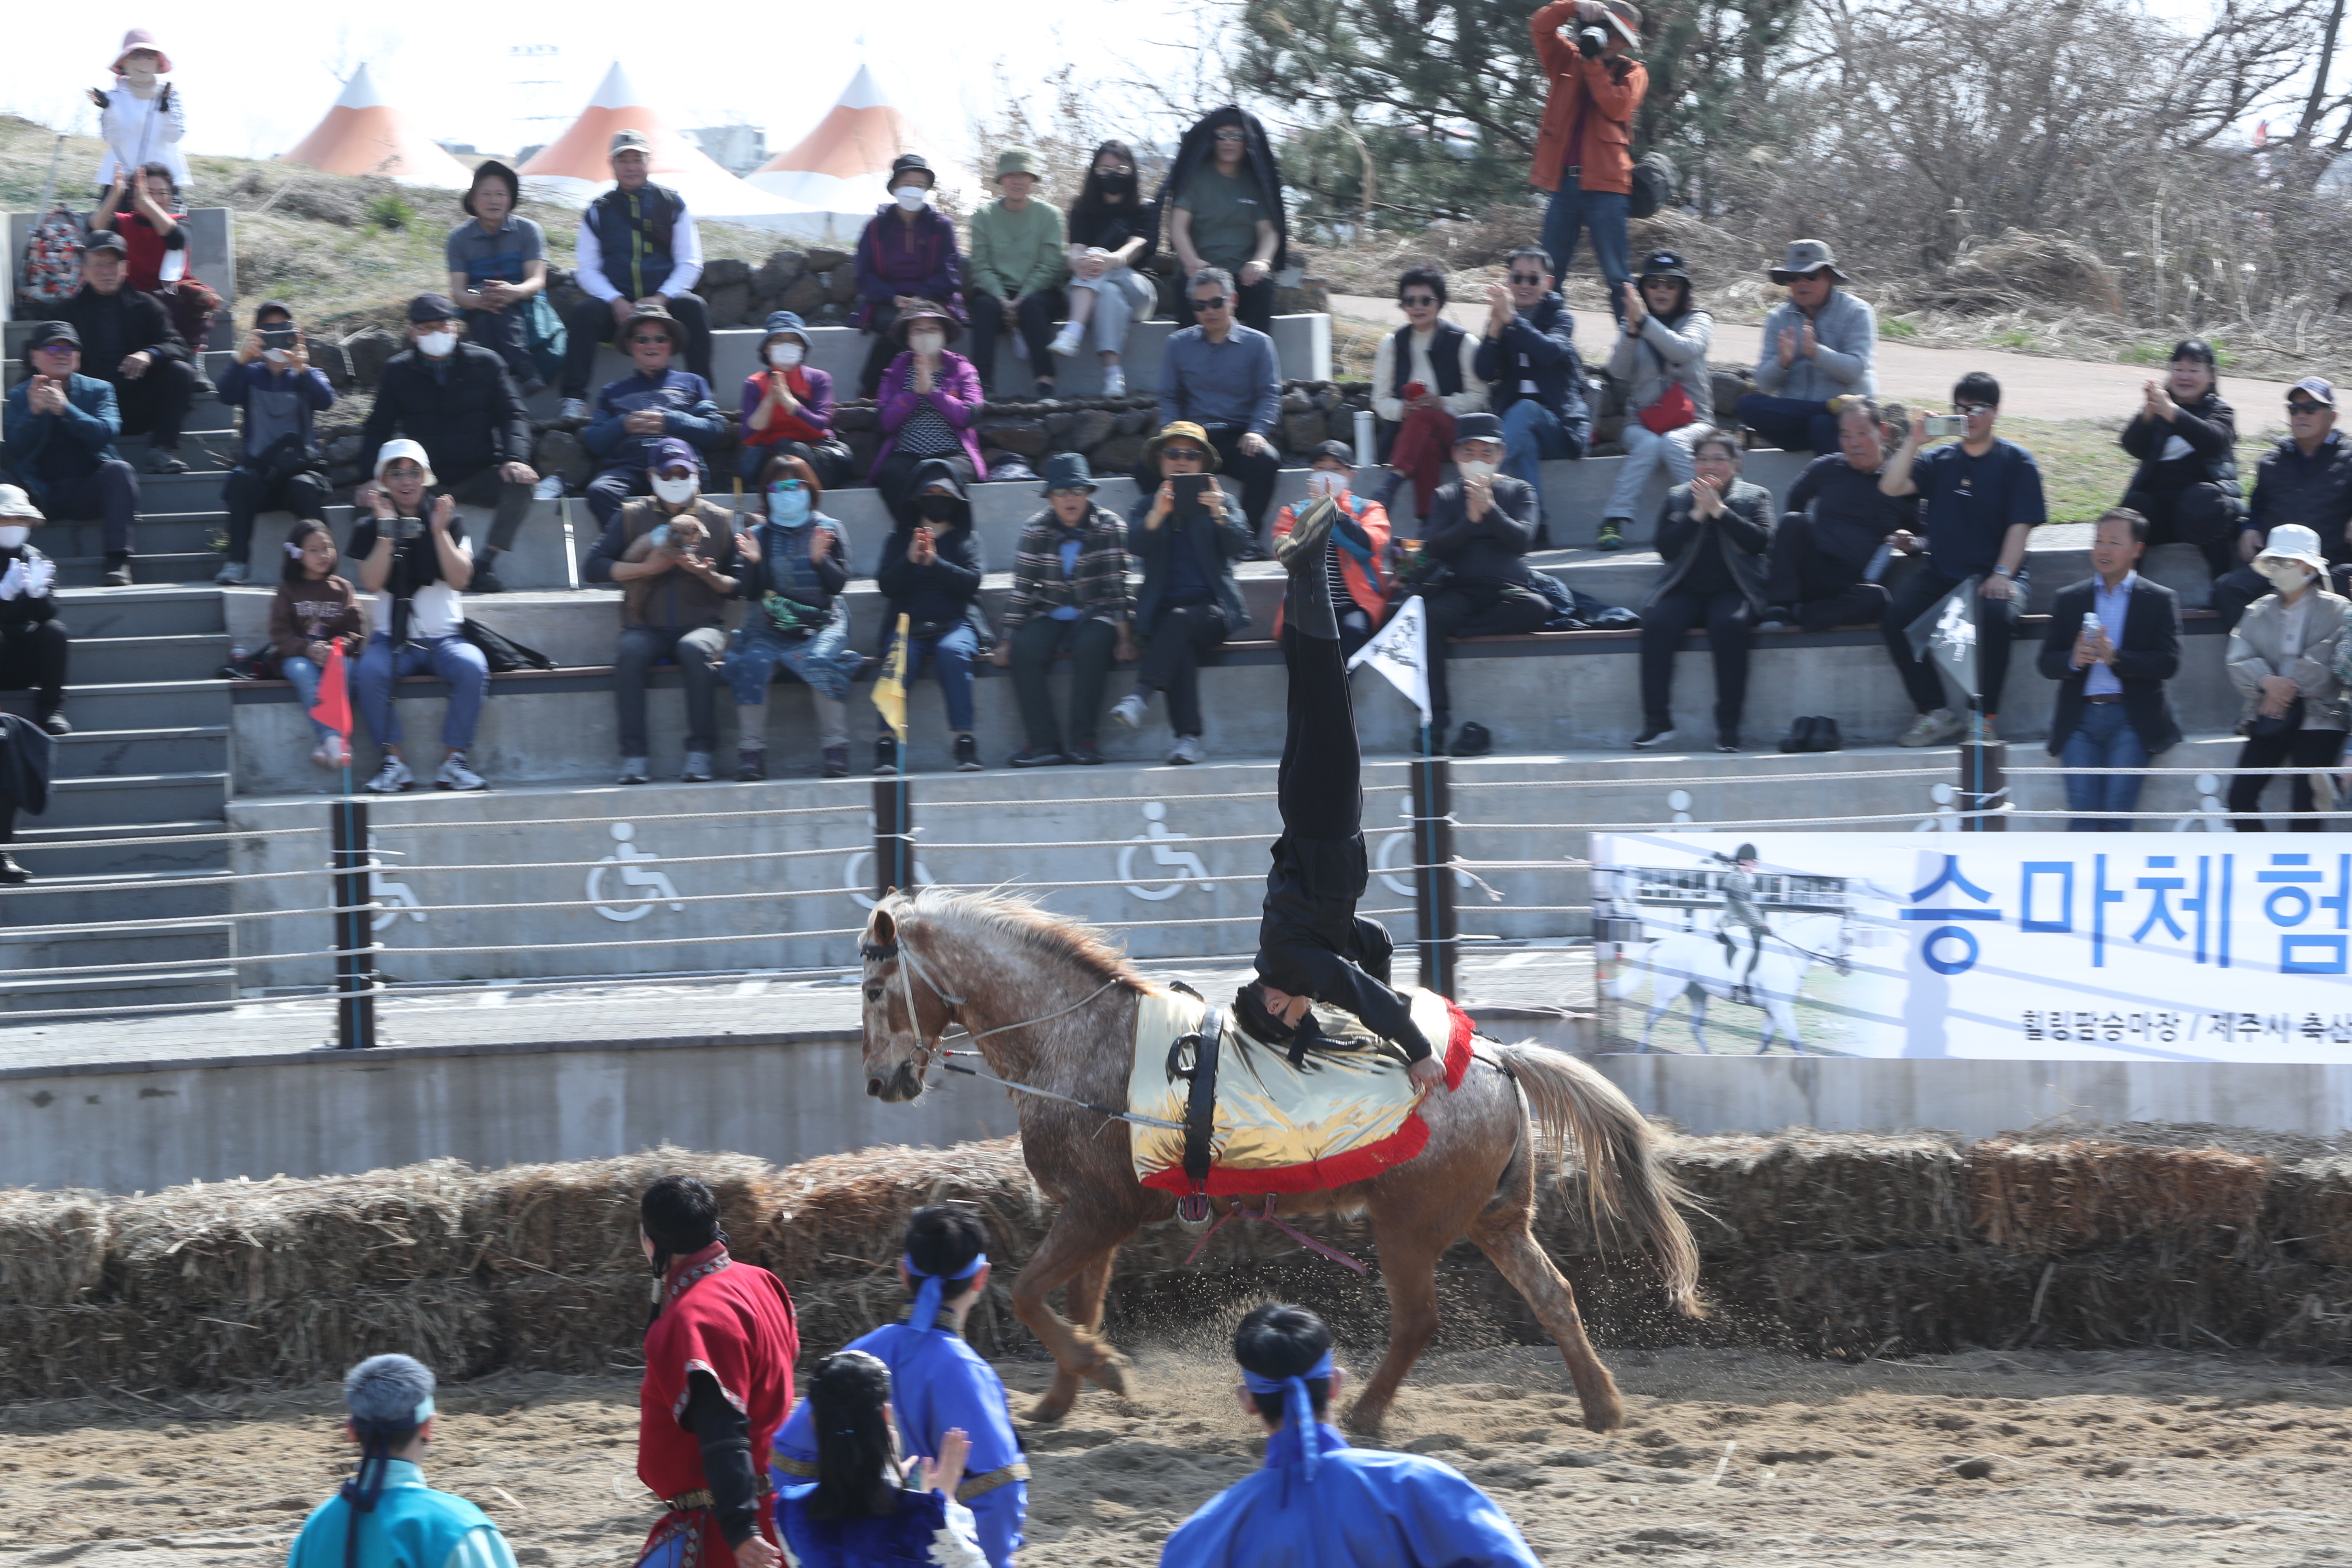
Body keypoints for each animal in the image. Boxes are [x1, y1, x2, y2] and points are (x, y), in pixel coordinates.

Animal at [856, 884, 1703, 1438]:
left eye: (871, 987)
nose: (879, 1081)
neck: (1078, 1041)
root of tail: (1496, 1058)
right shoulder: (1095, 1212)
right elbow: (1075, 1301)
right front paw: (1064, 1395)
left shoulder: (1102, 1210)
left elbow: (1032, 1294)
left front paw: (1101, 1369)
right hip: (1497, 1218)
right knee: (1553, 1295)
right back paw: (1601, 1405)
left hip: (1410, 1225)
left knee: (1419, 1320)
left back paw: (1365, 1411)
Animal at [1608, 912, 1844, 1062]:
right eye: (1847, 937)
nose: (1846, 968)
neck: (1786, 955)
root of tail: (1665, 941)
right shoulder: (1781, 1007)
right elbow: (1796, 1042)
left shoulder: (1774, 1009)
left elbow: (1766, 1041)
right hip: (1669, 992)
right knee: (1651, 1019)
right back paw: (1640, 1052)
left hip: (1697, 993)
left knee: (1695, 1026)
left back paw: (1709, 1056)